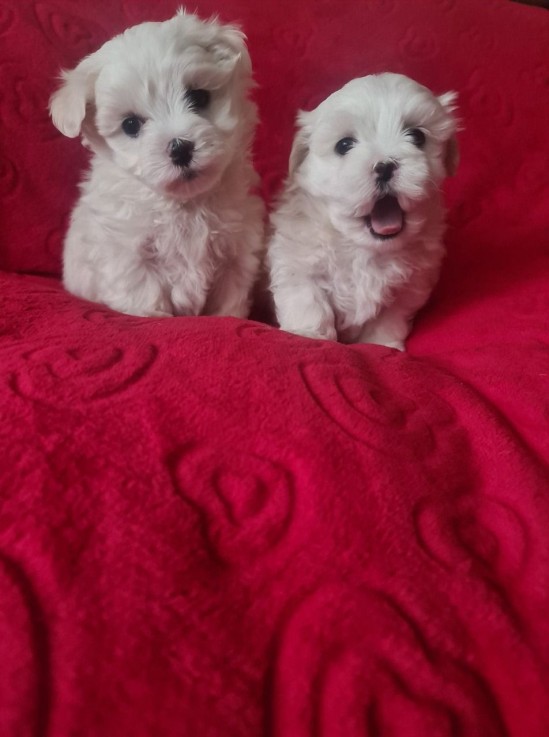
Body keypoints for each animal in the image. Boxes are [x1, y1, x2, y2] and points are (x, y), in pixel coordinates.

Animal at [50, 8, 264, 318]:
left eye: (199, 97)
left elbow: (229, 298)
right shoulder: (128, 251)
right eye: (130, 125)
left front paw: (226, 317)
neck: (186, 204)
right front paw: (153, 316)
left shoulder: (235, 251)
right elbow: (143, 289)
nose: (180, 148)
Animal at [268, 73, 456, 350]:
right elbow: (308, 301)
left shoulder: (409, 287)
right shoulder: (298, 263)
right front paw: (309, 335)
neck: (364, 247)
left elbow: (390, 319)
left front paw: (382, 345)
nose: (385, 166)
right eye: (344, 145)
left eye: (417, 136)